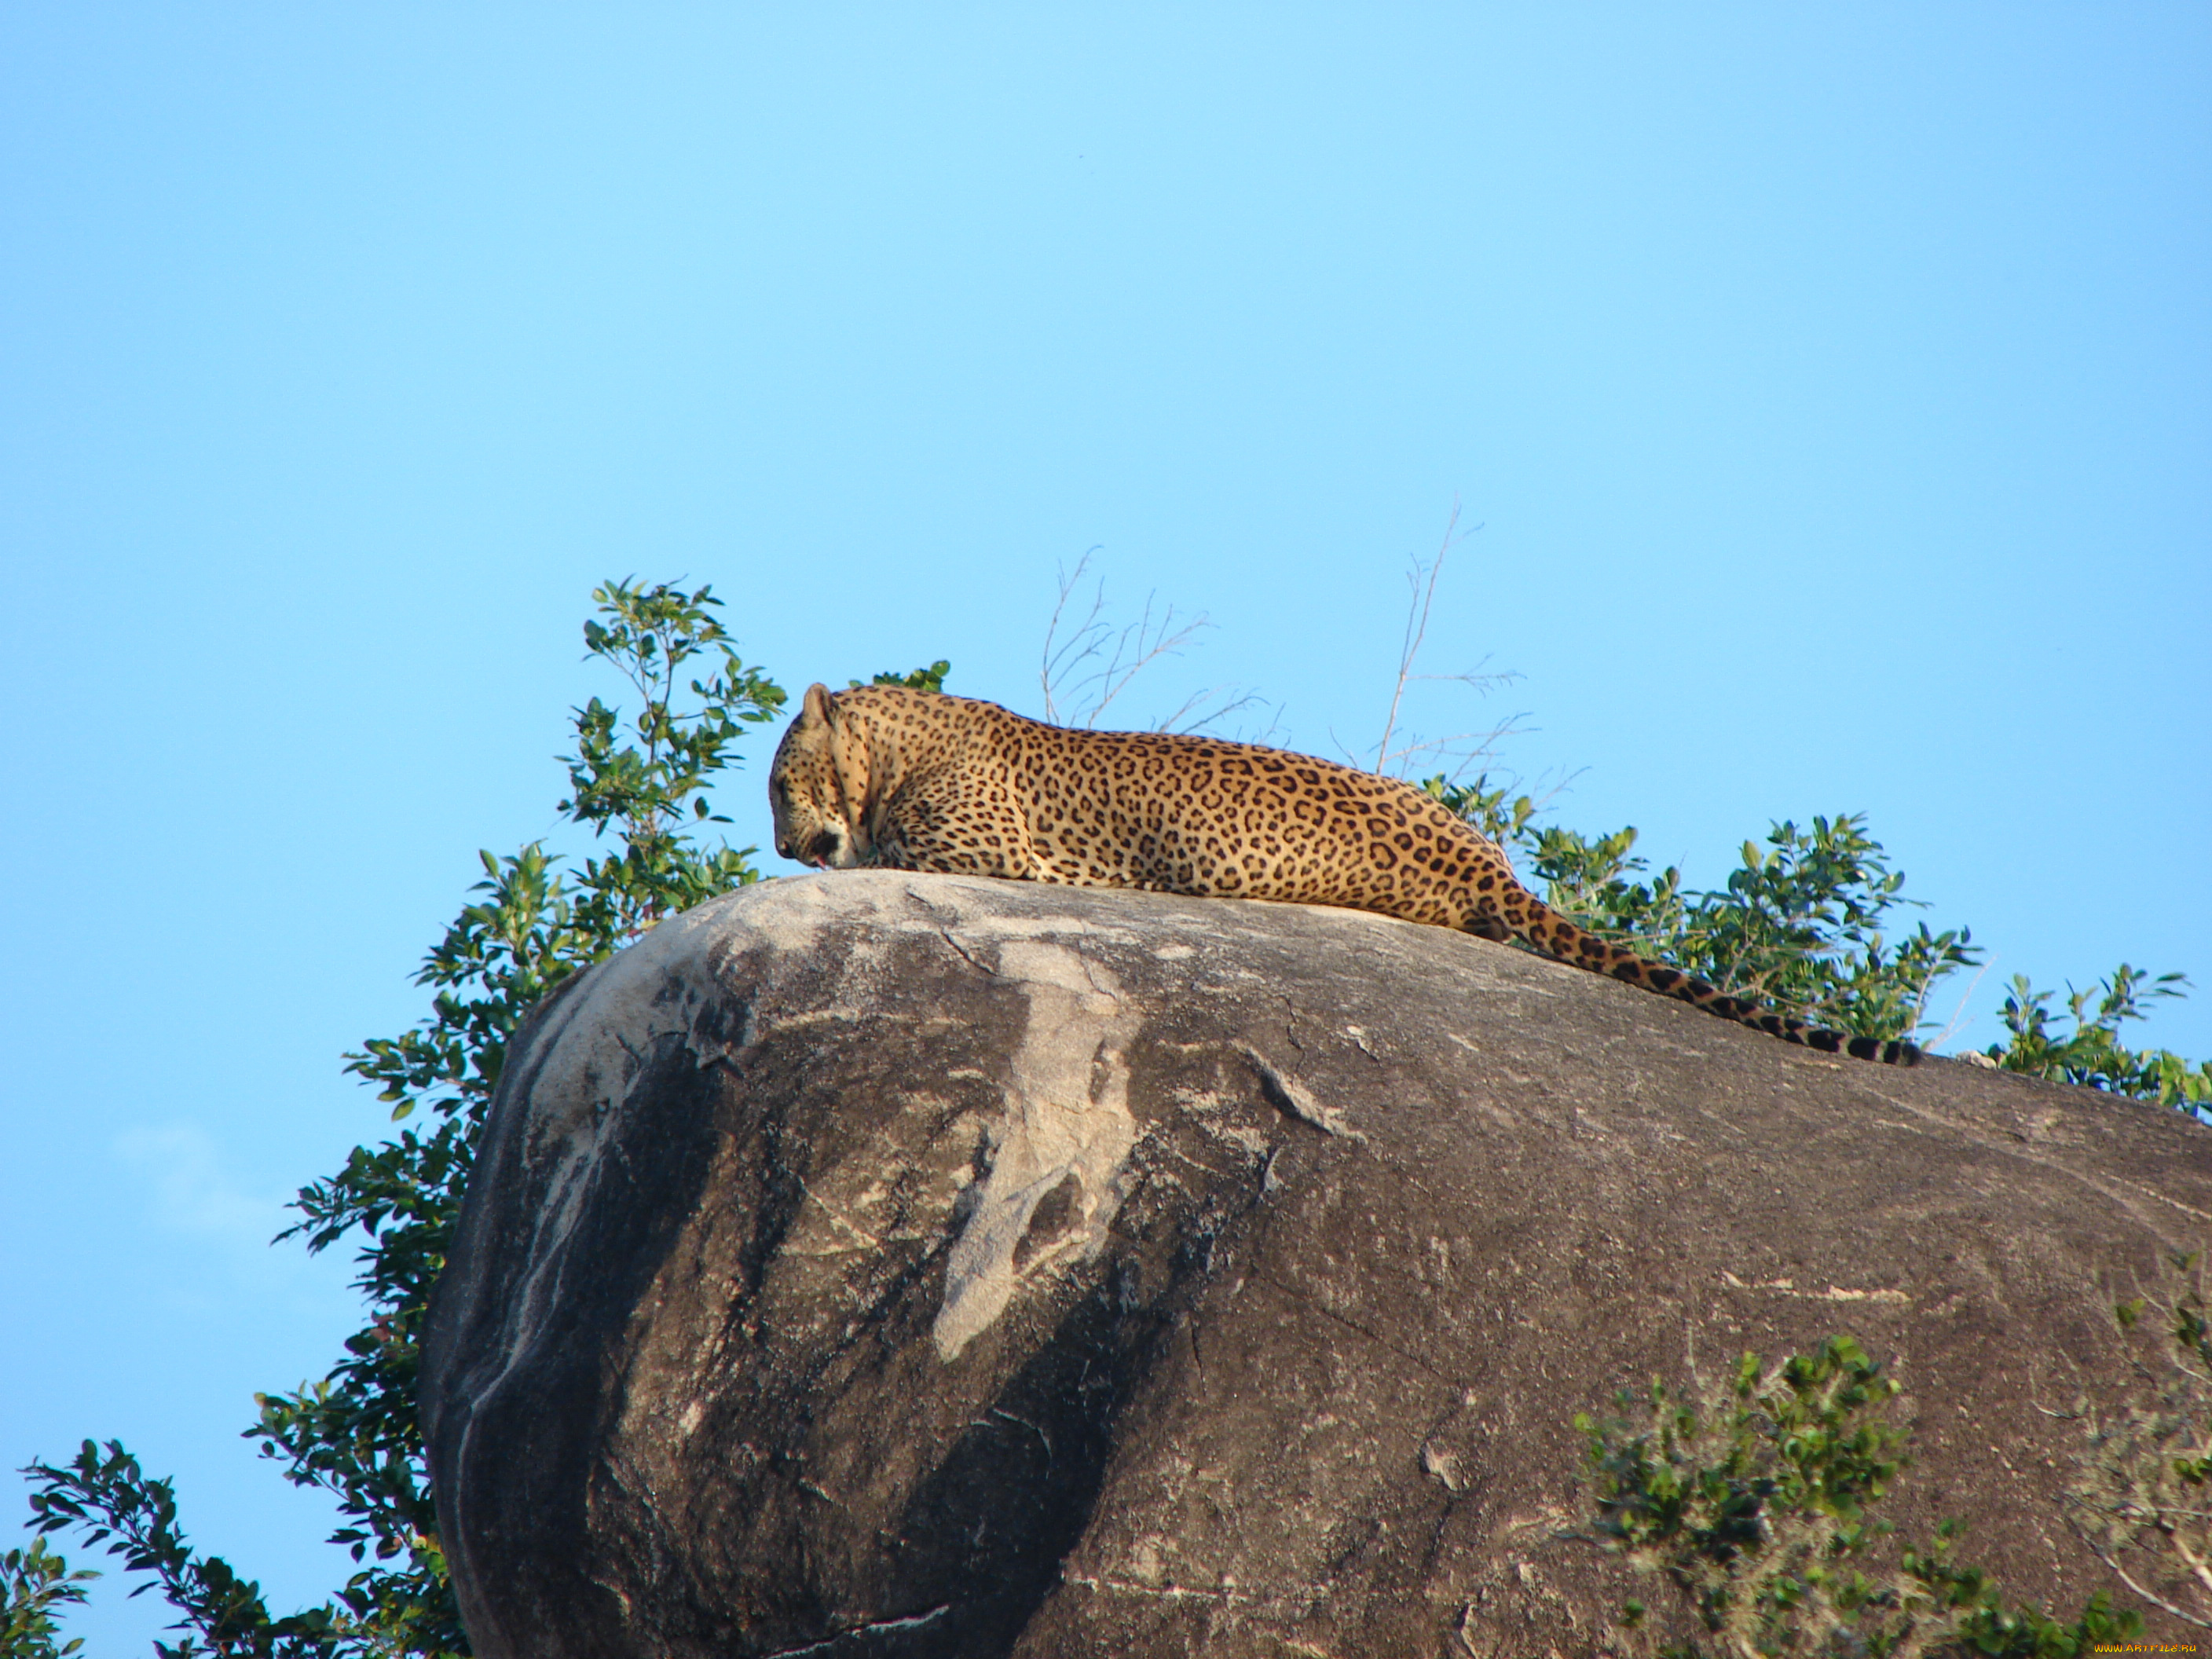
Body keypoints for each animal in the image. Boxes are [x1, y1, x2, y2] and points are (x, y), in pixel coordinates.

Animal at [774, 685, 1920, 1066]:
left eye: (783, 782)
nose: (783, 847)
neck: (898, 744)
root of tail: (1480, 856)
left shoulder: (993, 853)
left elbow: (883, 852)